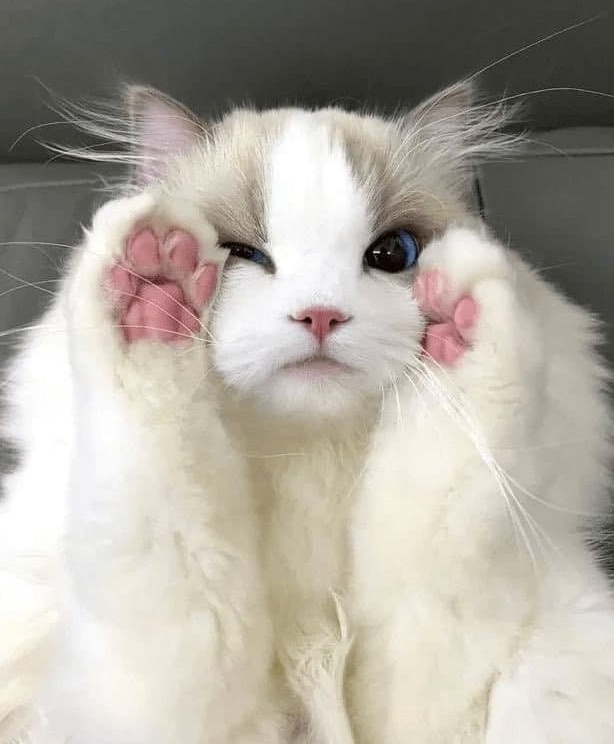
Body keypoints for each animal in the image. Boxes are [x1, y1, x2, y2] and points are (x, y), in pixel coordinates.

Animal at [1, 80, 614, 744]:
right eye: (240, 253)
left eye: (394, 252)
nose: (321, 315)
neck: (311, 465)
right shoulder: (156, 693)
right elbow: (163, 493)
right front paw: (154, 285)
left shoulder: (432, 683)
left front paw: (459, 308)